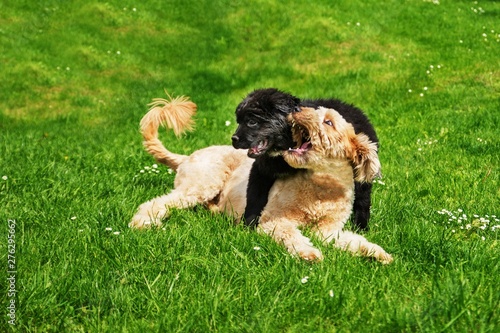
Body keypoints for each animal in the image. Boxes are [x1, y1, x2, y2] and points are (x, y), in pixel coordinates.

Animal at [232, 87, 376, 230]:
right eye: (238, 122)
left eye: (252, 122)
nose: (233, 139)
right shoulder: (261, 169)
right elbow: (254, 197)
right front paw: (248, 226)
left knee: (363, 199)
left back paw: (361, 226)